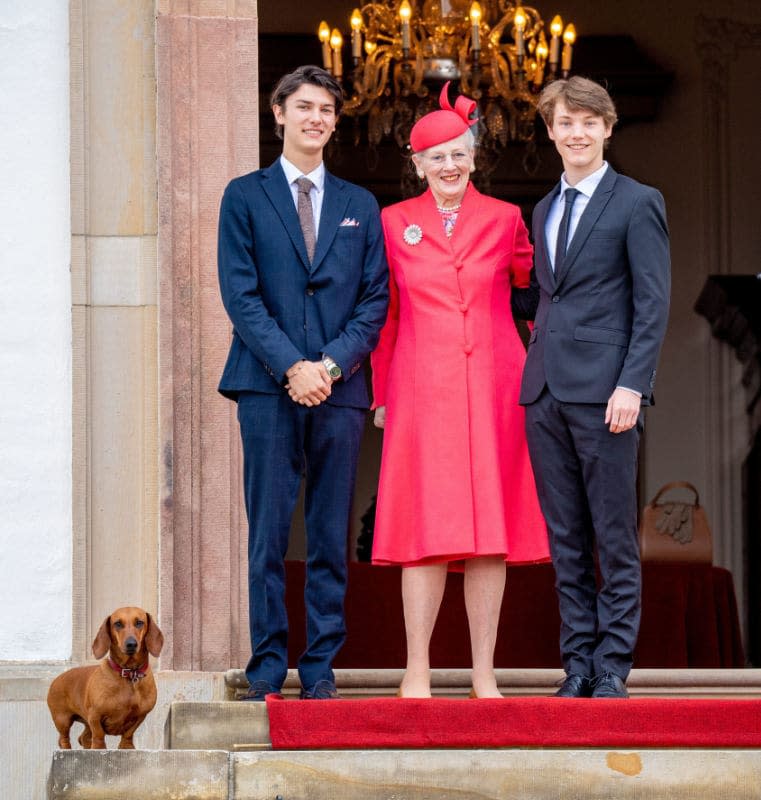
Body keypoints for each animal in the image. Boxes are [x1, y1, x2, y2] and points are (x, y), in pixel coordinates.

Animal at [46, 608, 164, 752]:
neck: (129, 674)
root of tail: (56, 679)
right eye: (117, 624)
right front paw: (99, 748)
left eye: (139, 623)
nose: (131, 644)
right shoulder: (94, 715)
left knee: (83, 738)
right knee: (64, 739)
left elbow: (128, 733)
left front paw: (126, 747)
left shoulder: (140, 716)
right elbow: (99, 734)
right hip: (62, 719)